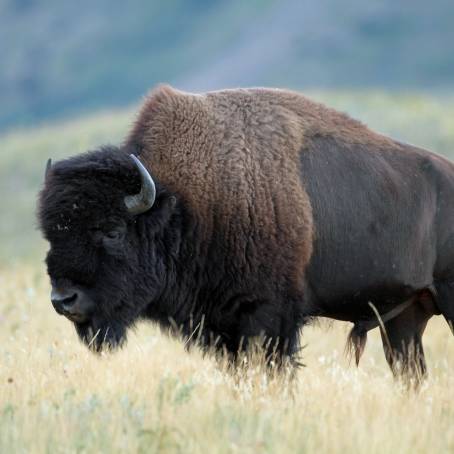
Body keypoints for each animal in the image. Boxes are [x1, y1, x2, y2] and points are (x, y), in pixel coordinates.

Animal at [39, 85, 454, 376]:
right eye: (51, 235)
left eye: (112, 231)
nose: (63, 300)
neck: (185, 202)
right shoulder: (226, 327)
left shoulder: (269, 319)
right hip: (403, 320)